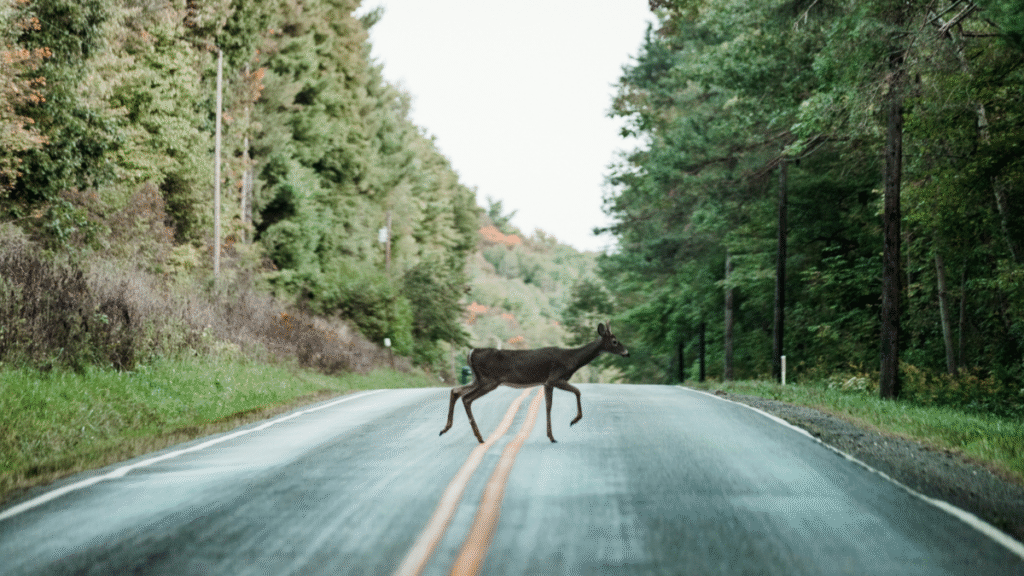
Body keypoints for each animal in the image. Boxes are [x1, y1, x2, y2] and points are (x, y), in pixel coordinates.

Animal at [439, 322, 630, 443]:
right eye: (614, 341)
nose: (627, 353)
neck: (572, 359)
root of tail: (471, 352)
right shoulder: (555, 377)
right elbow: (577, 392)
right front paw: (572, 421)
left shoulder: (546, 383)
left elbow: (548, 405)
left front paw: (551, 436)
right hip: (489, 380)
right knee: (466, 398)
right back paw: (479, 437)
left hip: (477, 379)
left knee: (455, 390)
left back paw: (445, 429)